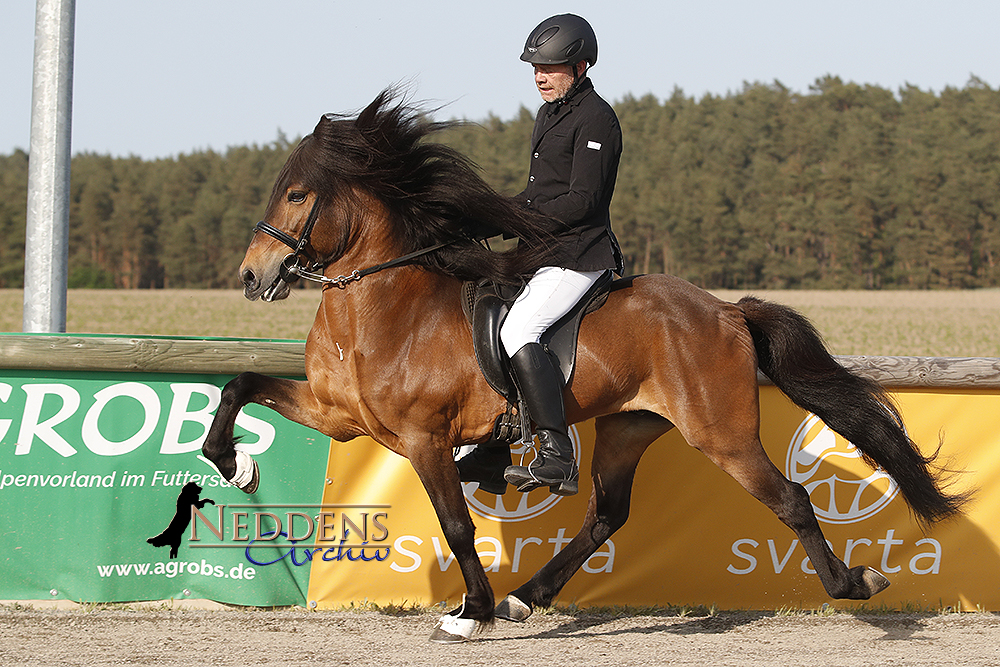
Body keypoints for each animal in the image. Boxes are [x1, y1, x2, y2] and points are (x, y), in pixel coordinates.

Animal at [199, 88, 964, 640]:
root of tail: (723, 310)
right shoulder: (340, 416)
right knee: (605, 515)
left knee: (791, 500)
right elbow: (239, 384)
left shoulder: (423, 438)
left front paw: (469, 612)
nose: (250, 276)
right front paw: (235, 465)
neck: (382, 309)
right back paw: (525, 594)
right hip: (628, 427)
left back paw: (853, 583)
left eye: (298, 195)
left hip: (721, 434)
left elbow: (456, 524)